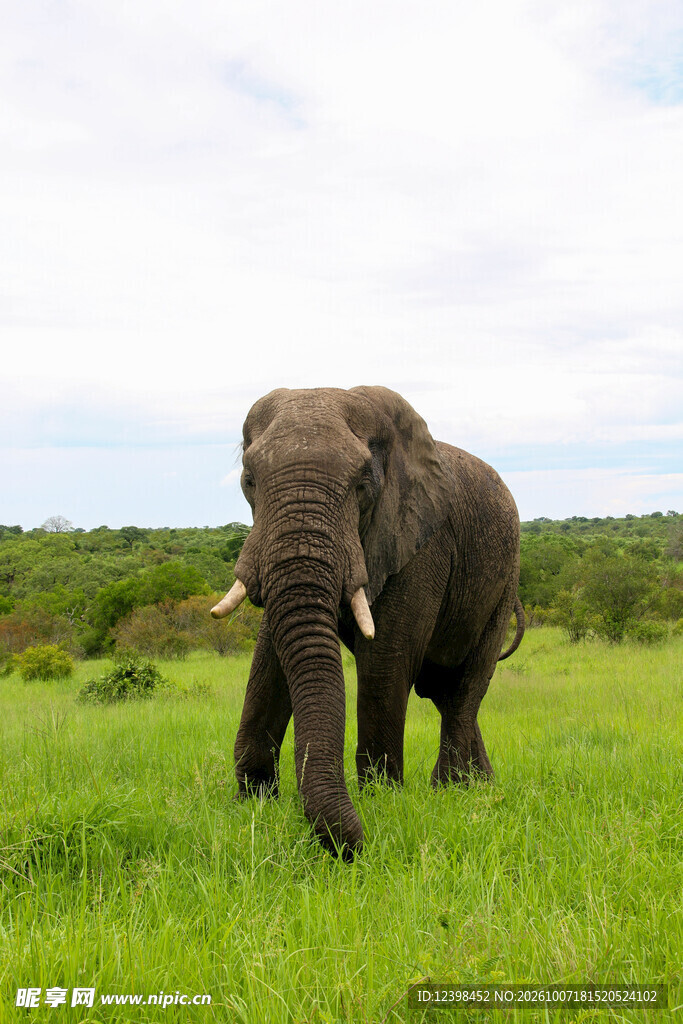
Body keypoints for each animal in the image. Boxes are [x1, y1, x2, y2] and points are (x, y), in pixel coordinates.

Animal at [211, 386, 524, 857]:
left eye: (362, 486)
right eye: (249, 479)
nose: (359, 848)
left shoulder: (420, 542)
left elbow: (385, 659)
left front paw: (382, 799)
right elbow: (270, 656)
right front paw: (252, 802)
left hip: (503, 583)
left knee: (464, 689)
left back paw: (450, 793)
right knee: (445, 693)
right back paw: (481, 788)